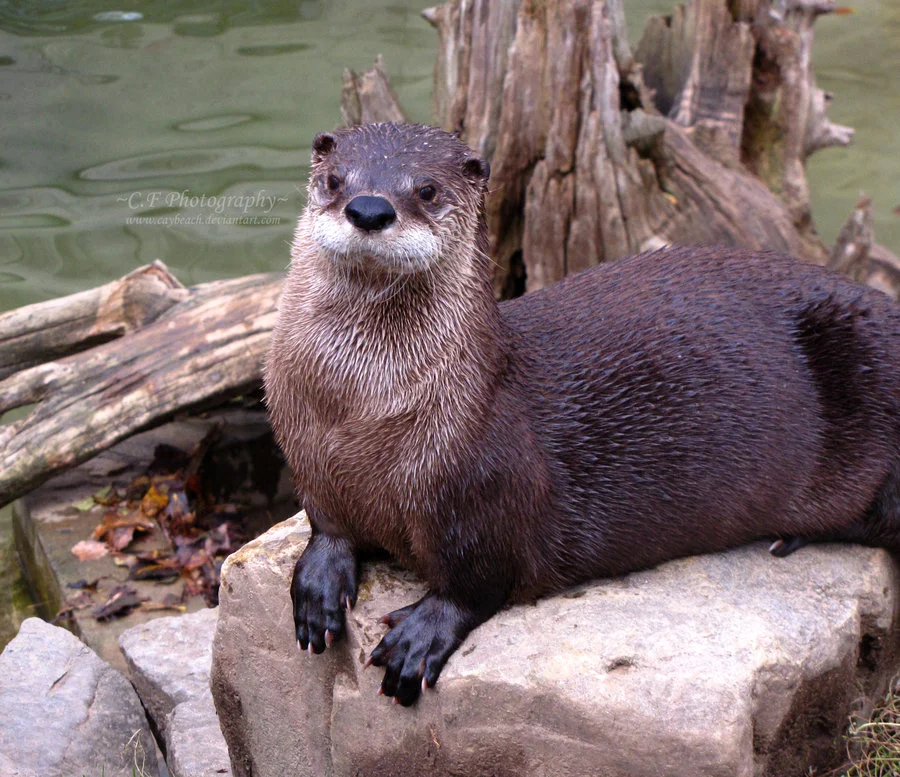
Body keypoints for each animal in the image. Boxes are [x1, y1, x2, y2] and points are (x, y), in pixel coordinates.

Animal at [264, 122, 900, 707]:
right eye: (335, 179)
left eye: (425, 188)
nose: (369, 209)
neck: (359, 413)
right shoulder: (307, 451)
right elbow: (328, 524)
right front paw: (318, 582)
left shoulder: (484, 484)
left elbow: (476, 583)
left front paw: (420, 636)